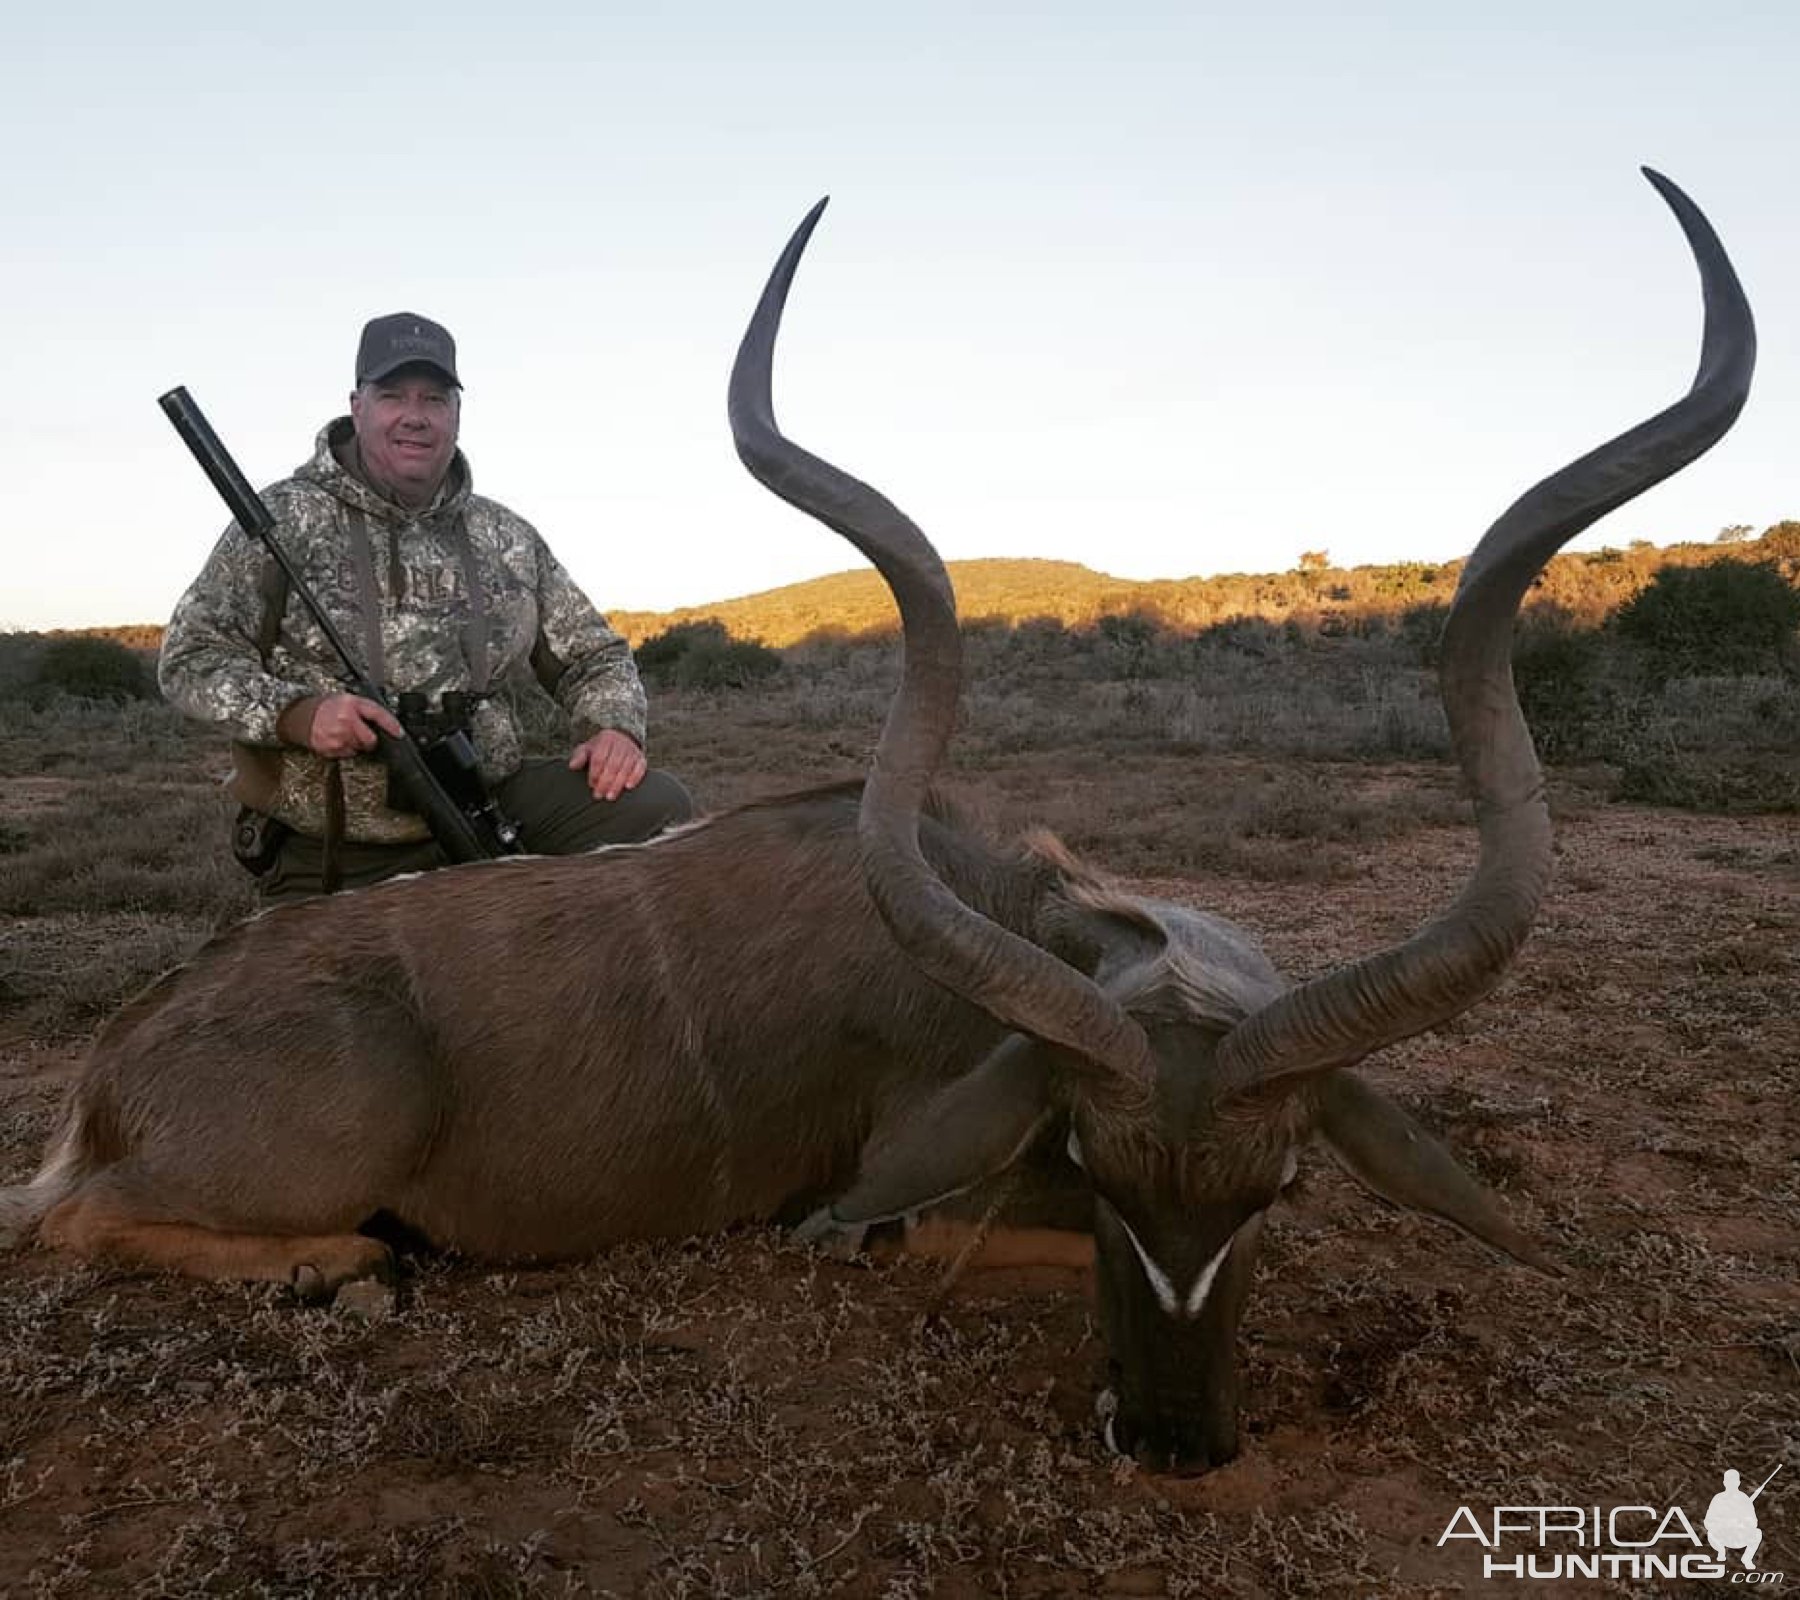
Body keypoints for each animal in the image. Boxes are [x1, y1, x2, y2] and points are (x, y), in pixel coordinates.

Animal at [0, 168, 1742, 1468]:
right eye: (1097, 1167)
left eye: (1277, 1189)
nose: (1175, 1444)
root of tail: (112, 1072)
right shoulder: (910, 1214)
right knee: (77, 1225)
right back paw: (340, 1271)